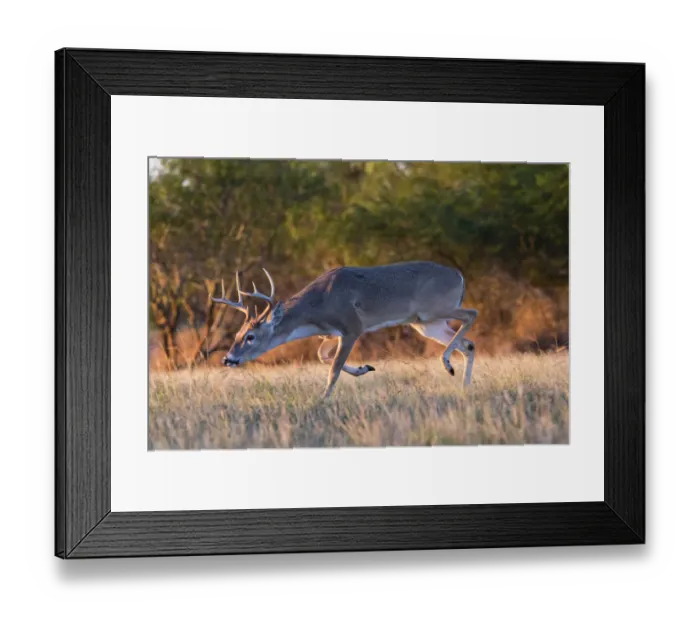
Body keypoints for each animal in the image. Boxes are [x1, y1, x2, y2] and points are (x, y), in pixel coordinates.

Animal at [210, 261, 478, 400]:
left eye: (250, 337)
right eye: (236, 335)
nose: (228, 359)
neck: (319, 305)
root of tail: (459, 275)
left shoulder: (352, 326)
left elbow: (334, 369)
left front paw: (322, 401)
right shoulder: (331, 333)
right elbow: (322, 356)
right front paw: (364, 368)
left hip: (434, 309)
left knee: (472, 314)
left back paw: (447, 363)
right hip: (426, 323)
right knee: (469, 345)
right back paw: (464, 387)